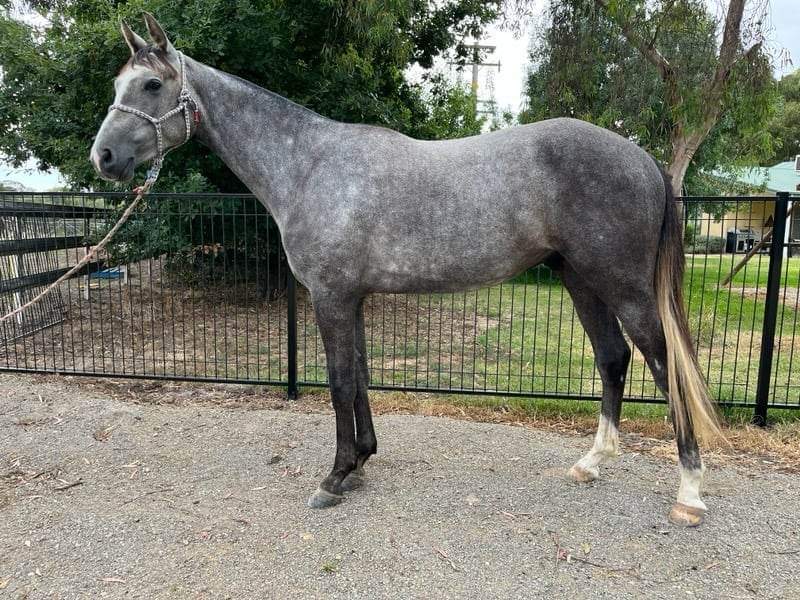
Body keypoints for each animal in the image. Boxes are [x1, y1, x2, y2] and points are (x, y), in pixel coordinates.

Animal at [90, 13, 722, 526]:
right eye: (118, 85)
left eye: (152, 85)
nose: (104, 158)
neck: (308, 164)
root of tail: (642, 158)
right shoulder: (353, 297)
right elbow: (361, 375)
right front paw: (360, 462)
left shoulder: (330, 295)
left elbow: (340, 381)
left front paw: (333, 478)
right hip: (580, 279)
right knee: (613, 359)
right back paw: (591, 464)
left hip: (624, 287)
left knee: (664, 363)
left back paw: (689, 494)